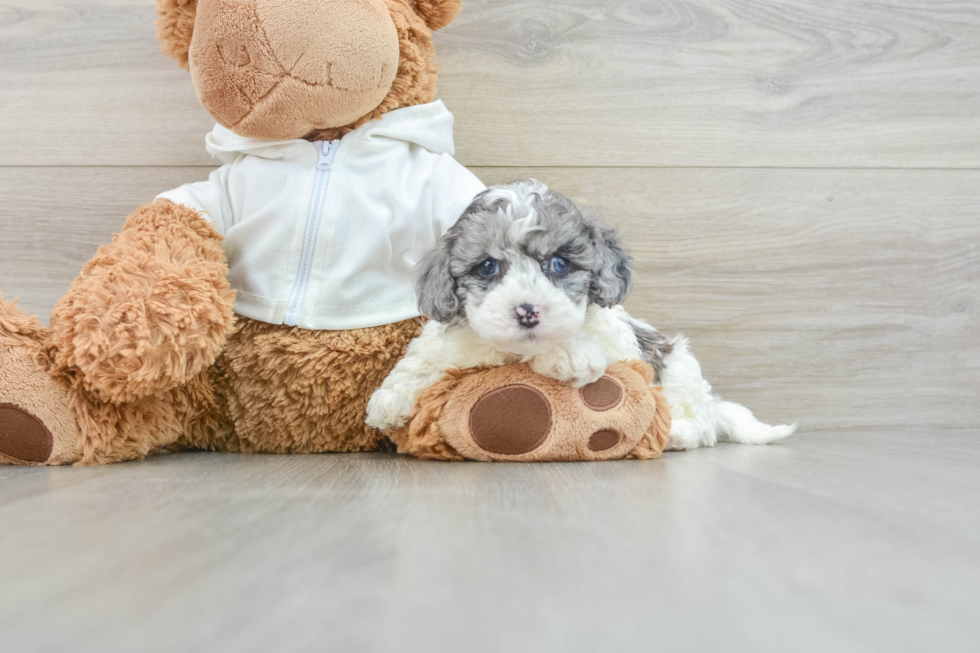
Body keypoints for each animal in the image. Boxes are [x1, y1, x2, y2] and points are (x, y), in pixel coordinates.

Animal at [368, 181, 796, 450]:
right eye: (487, 266)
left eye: (560, 263)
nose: (527, 311)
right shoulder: (455, 337)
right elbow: (425, 356)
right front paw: (388, 399)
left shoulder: (616, 341)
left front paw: (568, 354)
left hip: (679, 368)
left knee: (702, 423)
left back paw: (678, 435)